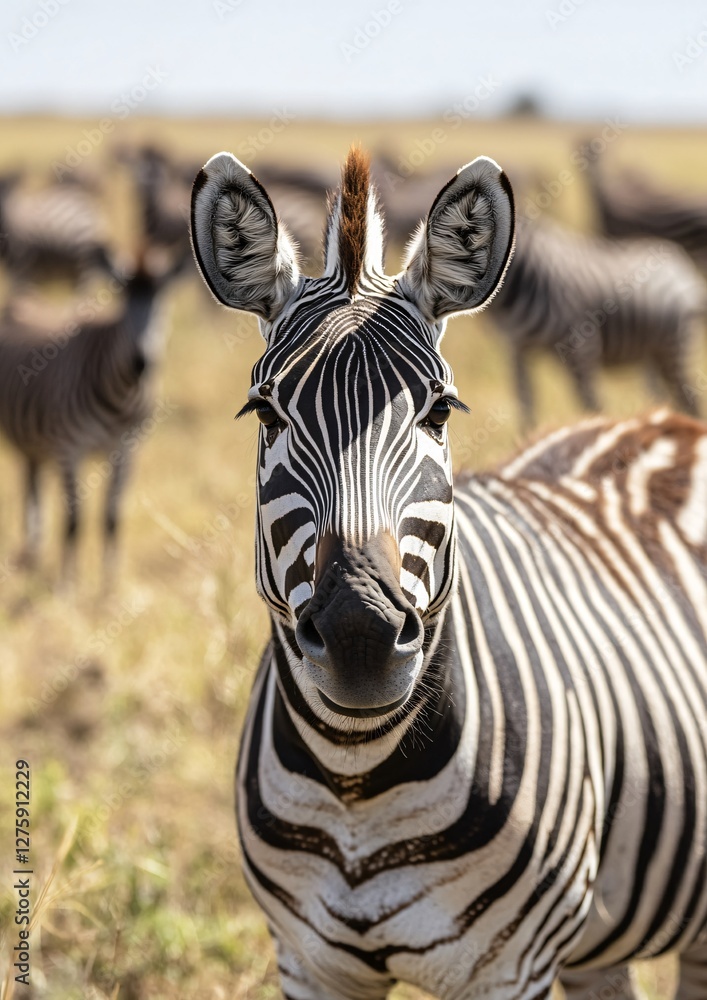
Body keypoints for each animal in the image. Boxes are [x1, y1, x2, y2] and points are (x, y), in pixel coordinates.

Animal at [0, 249, 181, 586]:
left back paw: (34, 557)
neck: (120, 400)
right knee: (33, 492)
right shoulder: (69, 450)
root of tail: (25, 299)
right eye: (122, 300)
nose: (141, 363)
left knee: (33, 484)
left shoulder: (126, 450)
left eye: (162, 300)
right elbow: (74, 520)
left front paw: (110, 586)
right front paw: (67, 585)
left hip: (35, 444)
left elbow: (112, 518)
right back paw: (32, 559)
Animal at [487, 214, 707, 429]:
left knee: (690, 401)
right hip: (654, 352)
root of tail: (679, 260)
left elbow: (591, 405)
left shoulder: (583, 345)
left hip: (675, 348)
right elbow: (526, 403)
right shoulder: (517, 348)